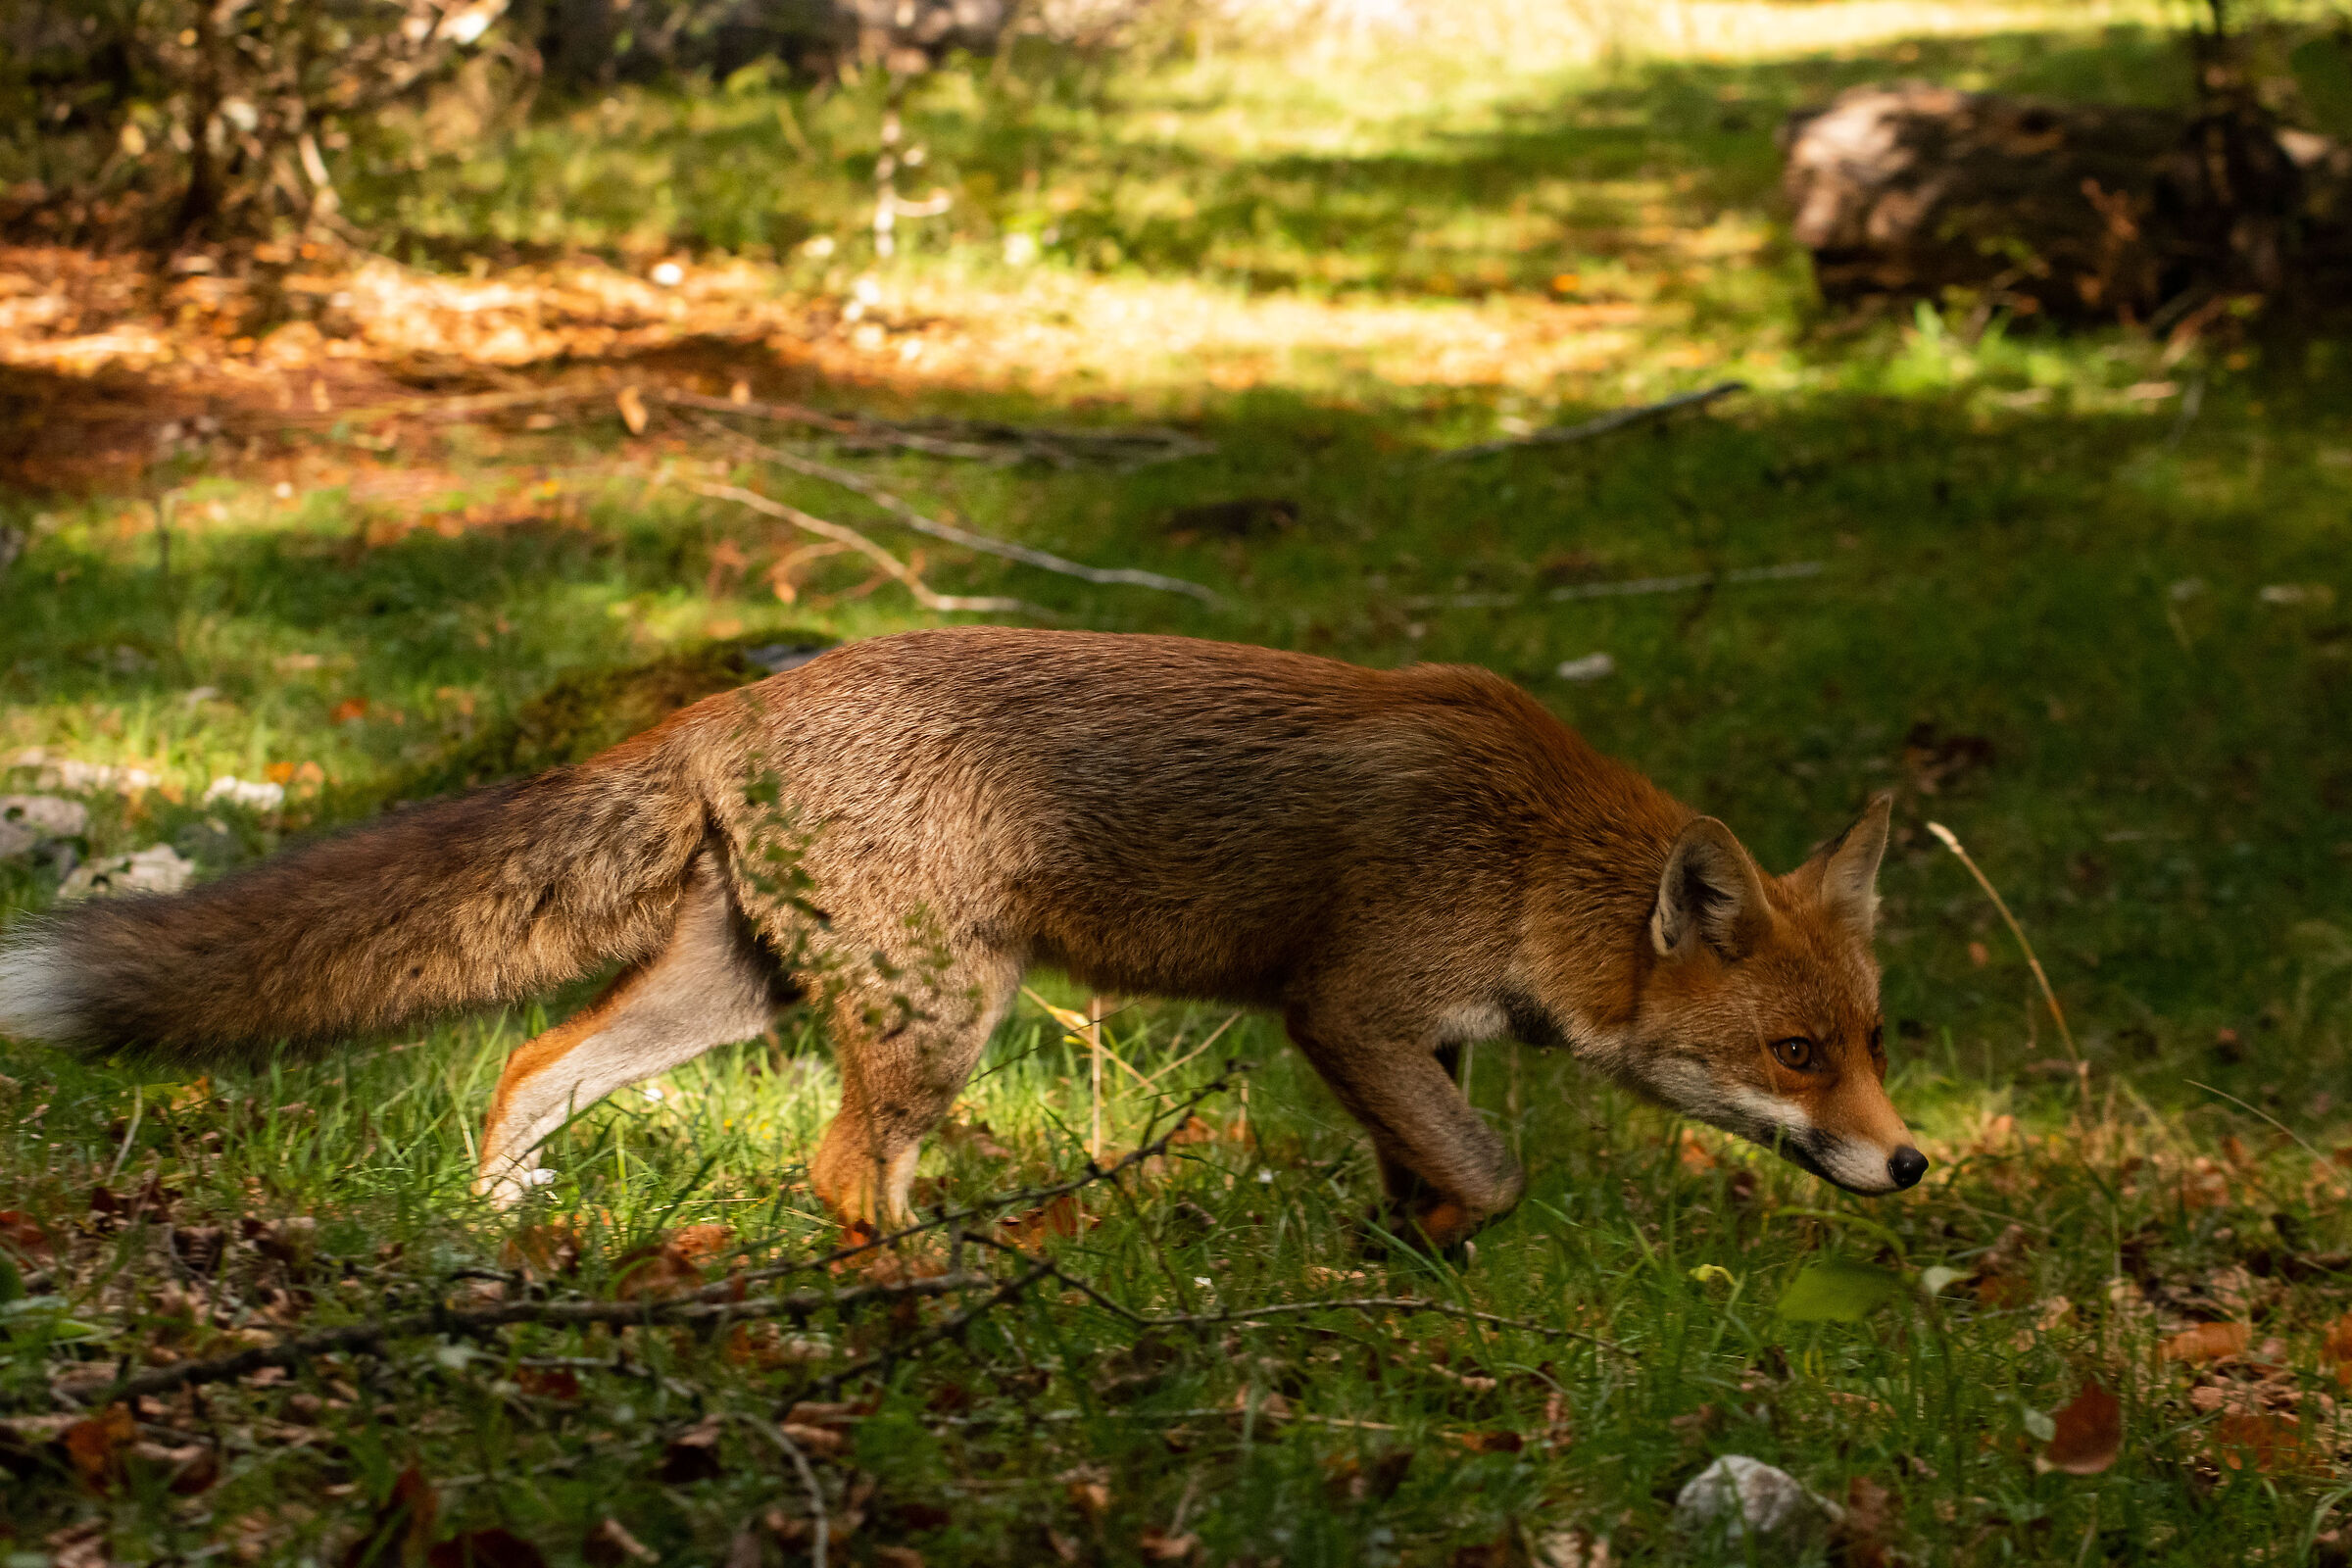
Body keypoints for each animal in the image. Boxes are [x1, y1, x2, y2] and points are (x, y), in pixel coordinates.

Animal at [0, 628, 1923, 1252]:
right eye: (1795, 1053)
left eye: (1877, 1041)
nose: (1913, 1166)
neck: (1529, 853)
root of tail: (731, 703)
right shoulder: (1348, 1007)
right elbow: (1498, 1168)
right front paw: (1434, 1253)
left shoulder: (1412, 1040)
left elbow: (1441, 1173)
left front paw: (1409, 1269)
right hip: (941, 1009)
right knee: (845, 1174)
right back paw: (931, 1296)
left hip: (740, 993)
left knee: (535, 1059)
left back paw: (498, 1232)